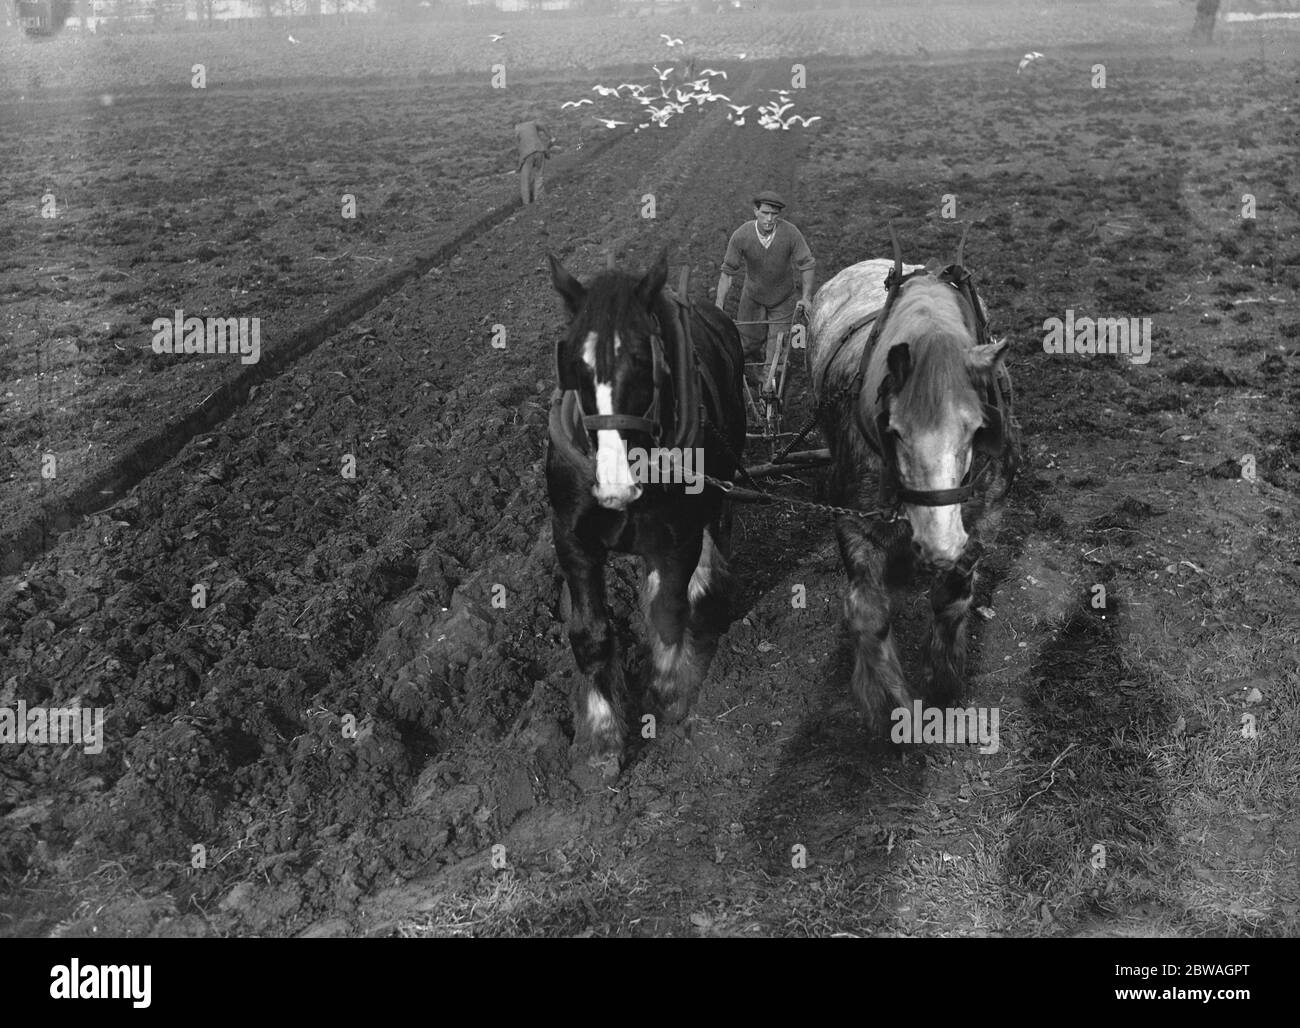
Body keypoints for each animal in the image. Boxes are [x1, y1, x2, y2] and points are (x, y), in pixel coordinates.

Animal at [543, 250, 748, 769]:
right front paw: (601, 737)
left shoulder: (678, 536)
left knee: (713, 536)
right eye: (572, 363)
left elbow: (669, 610)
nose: (615, 486)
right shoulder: (572, 538)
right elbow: (590, 631)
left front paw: (669, 692)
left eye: (642, 360)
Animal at [806, 235, 1019, 732]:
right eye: (895, 430)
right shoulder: (854, 517)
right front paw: (889, 706)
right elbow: (868, 613)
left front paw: (943, 675)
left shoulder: (984, 518)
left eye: (976, 428)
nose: (939, 545)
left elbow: (953, 597)